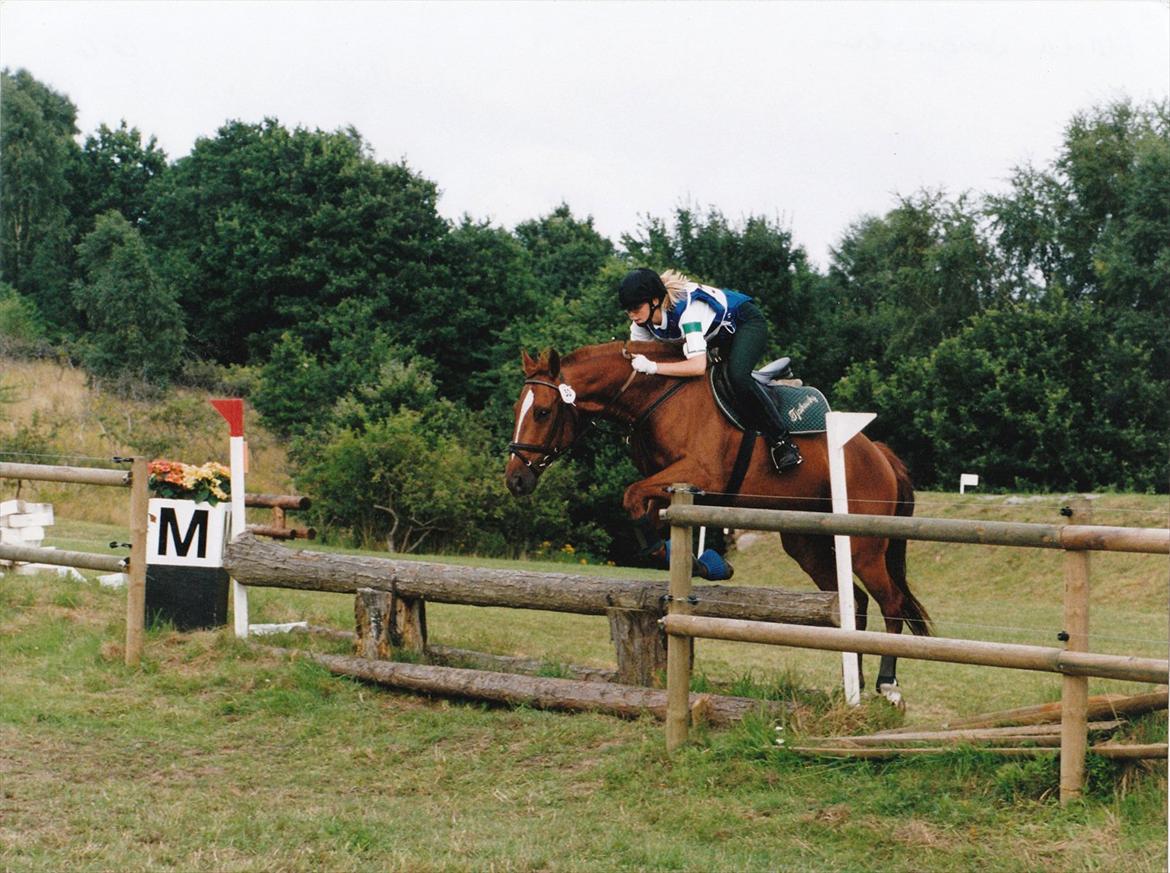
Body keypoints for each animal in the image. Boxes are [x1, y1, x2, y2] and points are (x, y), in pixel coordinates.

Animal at [503, 339, 931, 702]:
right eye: (516, 409)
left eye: (542, 411)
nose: (515, 480)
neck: (655, 396)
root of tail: (878, 453)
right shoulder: (670, 482)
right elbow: (643, 508)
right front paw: (699, 561)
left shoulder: (701, 474)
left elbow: (632, 497)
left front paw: (693, 559)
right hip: (807, 542)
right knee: (853, 602)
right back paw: (852, 682)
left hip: (863, 545)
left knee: (891, 601)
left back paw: (887, 684)